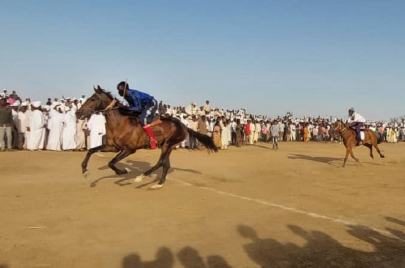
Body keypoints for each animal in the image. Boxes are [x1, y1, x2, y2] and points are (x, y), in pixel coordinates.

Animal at [74, 86, 216, 188]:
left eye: (93, 99)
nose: (78, 112)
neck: (120, 122)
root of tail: (184, 126)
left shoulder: (129, 149)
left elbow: (111, 162)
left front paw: (123, 171)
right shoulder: (113, 147)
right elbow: (92, 150)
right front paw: (84, 170)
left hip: (168, 144)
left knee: (161, 162)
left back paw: (141, 177)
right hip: (167, 145)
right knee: (166, 164)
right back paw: (158, 184)